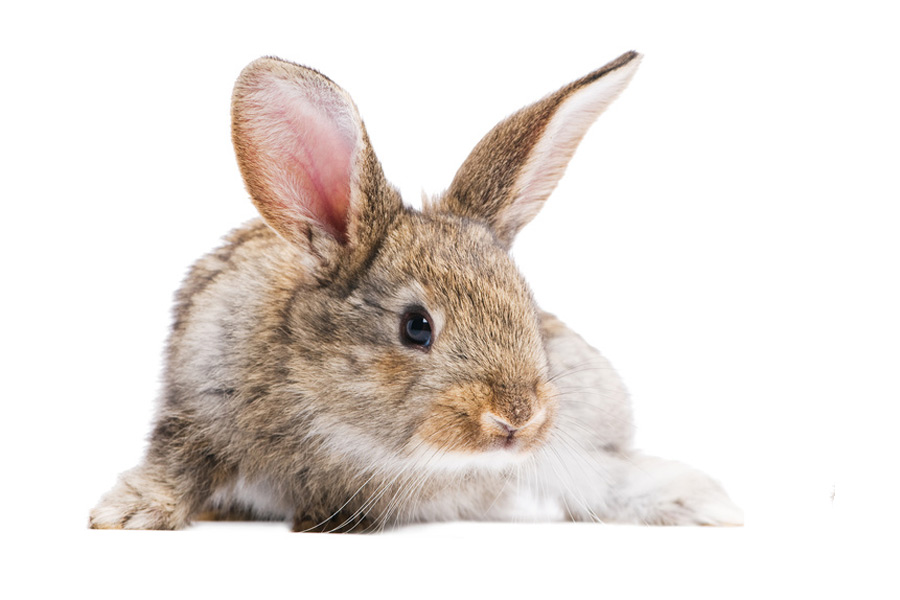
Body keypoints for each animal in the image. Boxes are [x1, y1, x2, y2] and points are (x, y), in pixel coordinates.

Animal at [89, 51, 742, 532]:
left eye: (529, 312)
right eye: (416, 326)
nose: (517, 419)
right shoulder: (198, 405)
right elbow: (177, 465)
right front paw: (126, 513)